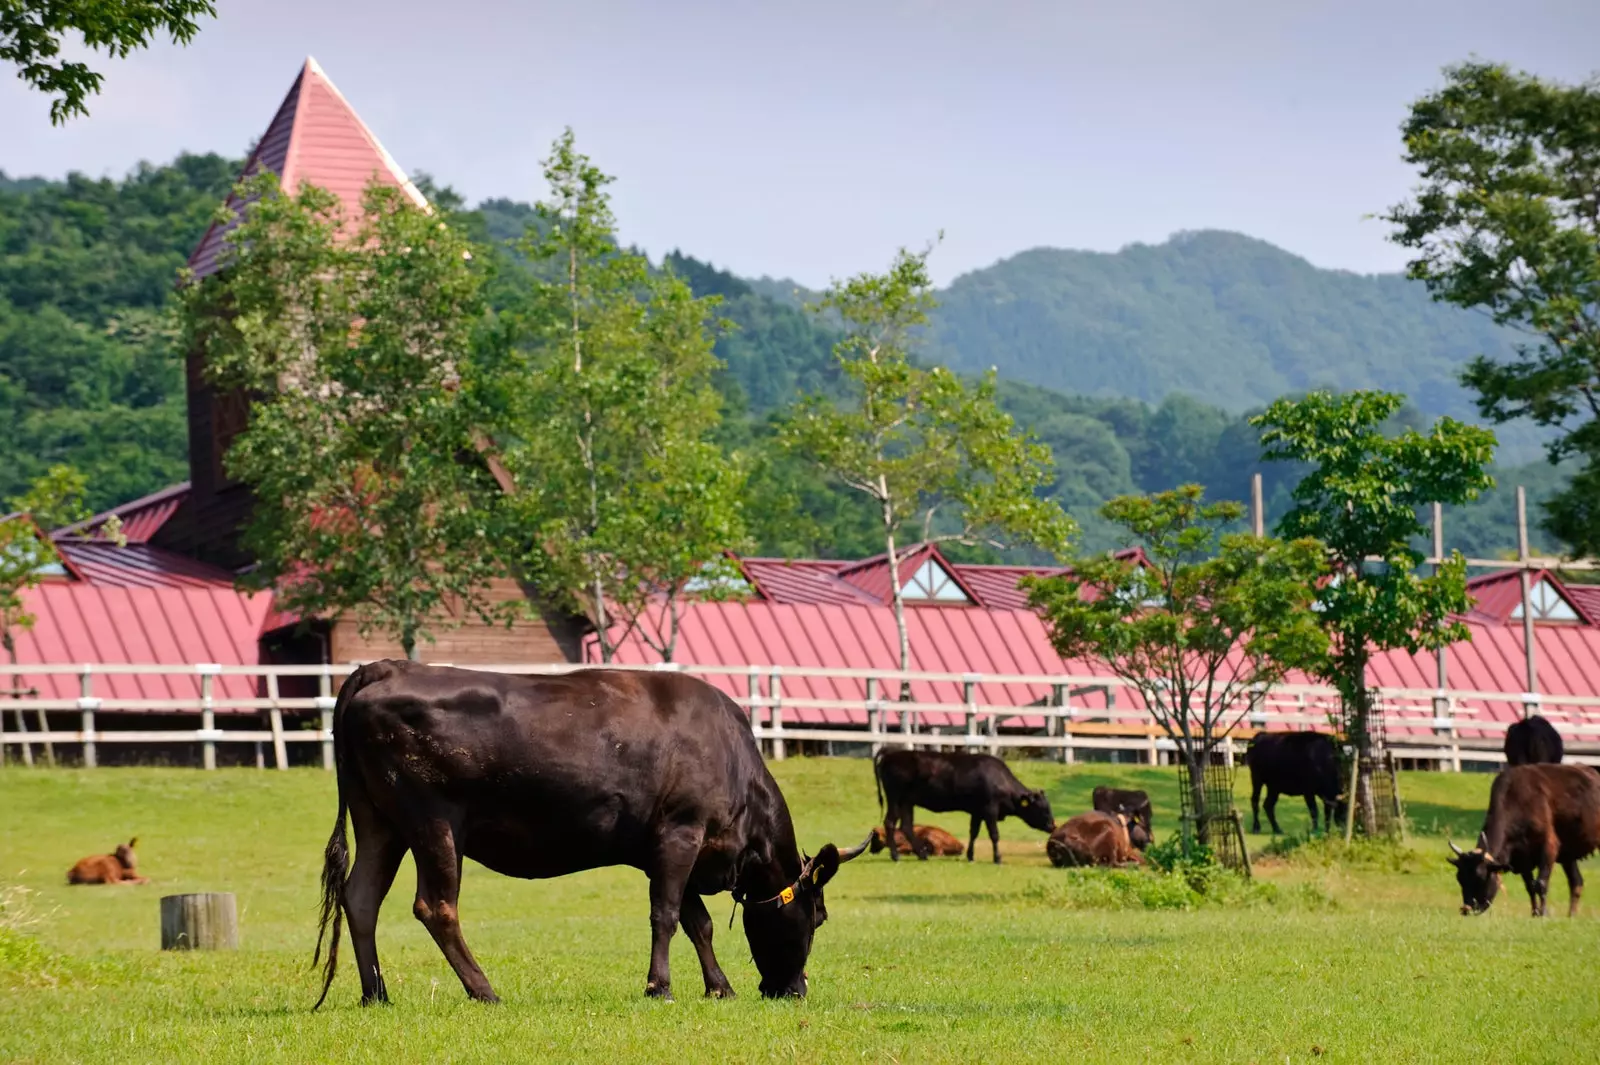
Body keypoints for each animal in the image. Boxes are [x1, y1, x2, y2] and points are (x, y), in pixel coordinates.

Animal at [308, 658, 864, 1010]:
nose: (795, 991)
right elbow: (666, 916)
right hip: (434, 822)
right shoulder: (679, 834)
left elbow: (697, 922)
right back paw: (484, 990)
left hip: (380, 821)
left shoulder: (667, 846)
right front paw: (659, 987)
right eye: (818, 917)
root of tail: (385, 667)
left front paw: (718, 987)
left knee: (361, 897)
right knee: (436, 906)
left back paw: (376, 993)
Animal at [870, 745, 1056, 863]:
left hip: (907, 802)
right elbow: (994, 834)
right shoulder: (990, 810)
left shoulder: (977, 811)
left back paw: (922, 855)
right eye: (1042, 808)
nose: (1052, 826)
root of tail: (892, 753)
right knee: (890, 823)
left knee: (906, 826)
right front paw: (997, 858)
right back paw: (896, 856)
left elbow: (973, 833)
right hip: (895, 798)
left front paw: (970, 856)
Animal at [1452, 757, 1600, 914]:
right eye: (1459, 878)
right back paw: (1571, 915)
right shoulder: (1522, 858)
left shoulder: (1549, 847)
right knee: (1576, 882)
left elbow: (1540, 884)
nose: (1466, 908)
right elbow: (1530, 886)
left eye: (1480, 877)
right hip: (1568, 856)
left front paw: (1544, 913)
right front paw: (1535, 913)